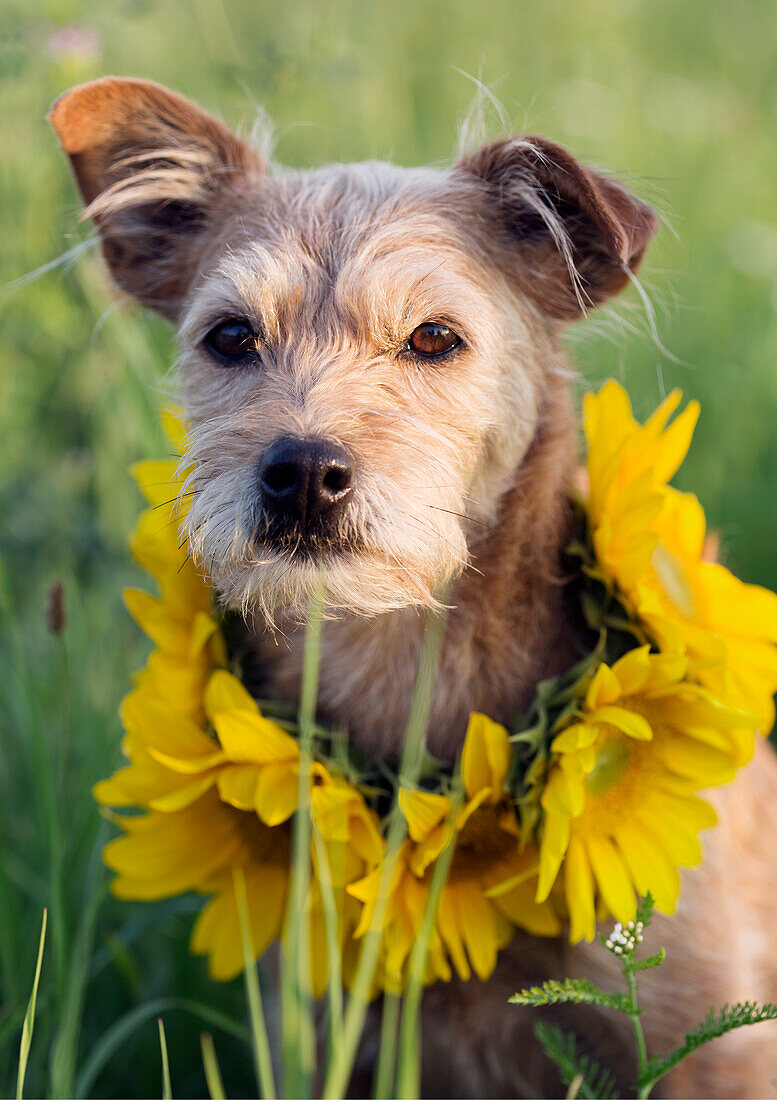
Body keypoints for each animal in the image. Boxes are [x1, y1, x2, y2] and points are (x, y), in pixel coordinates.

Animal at [48, 79, 774, 1100]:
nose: (302, 474)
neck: (403, 657)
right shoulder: (315, 1031)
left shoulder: (710, 1043)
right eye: (230, 337)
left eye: (434, 337)